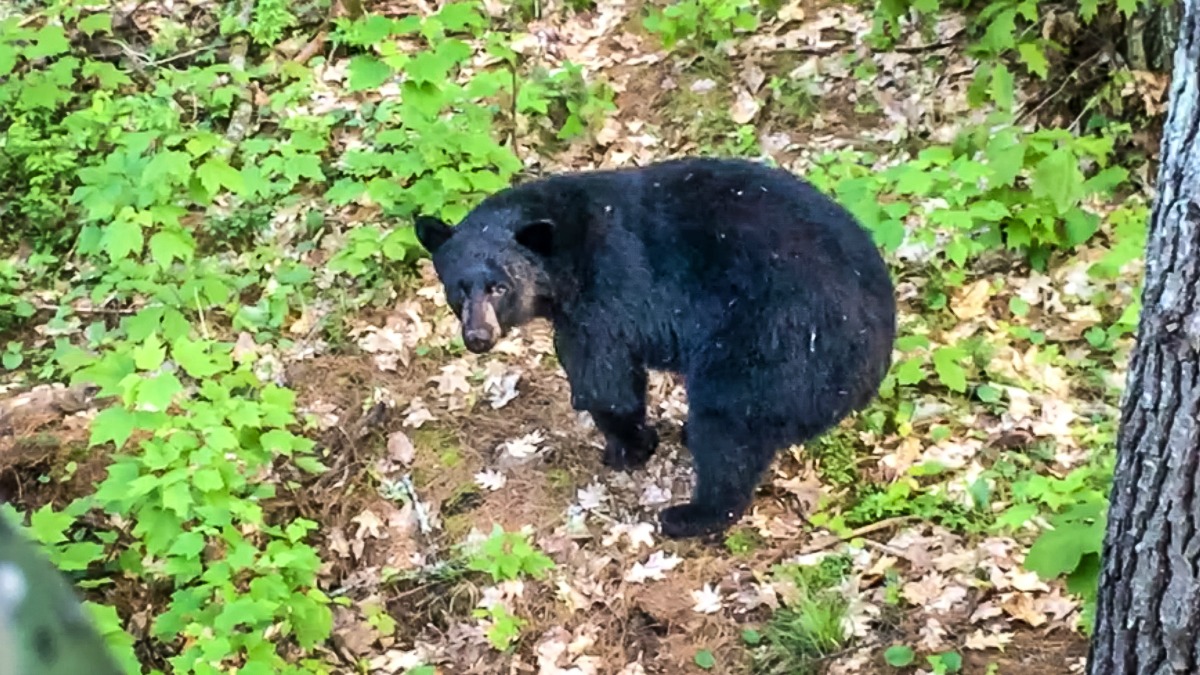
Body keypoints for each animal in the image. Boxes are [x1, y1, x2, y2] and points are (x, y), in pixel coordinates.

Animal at [412, 156, 892, 535]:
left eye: (499, 287)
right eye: (458, 288)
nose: (478, 337)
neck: (563, 256)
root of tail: (875, 353)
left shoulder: (603, 294)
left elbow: (605, 380)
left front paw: (629, 447)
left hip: (769, 342)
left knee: (728, 428)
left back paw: (691, 514)